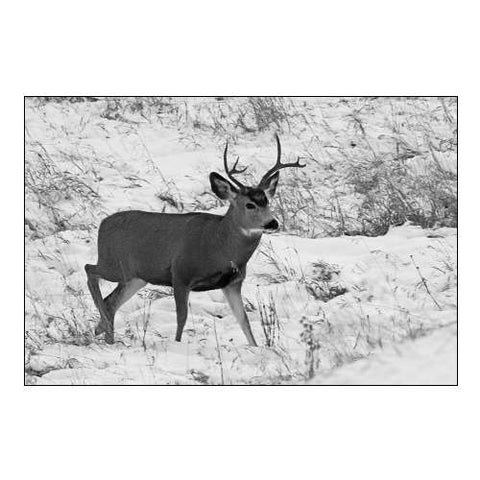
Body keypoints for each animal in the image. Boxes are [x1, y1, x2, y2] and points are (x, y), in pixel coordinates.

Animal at [84, 134, 306, 344]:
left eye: (267, 201)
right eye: (250, 205)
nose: (272, 223)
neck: (219, 246)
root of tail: (103, 225)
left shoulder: (232, 282)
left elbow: (244, 321)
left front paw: (257, 347)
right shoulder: (180, 273)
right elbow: (182, 318)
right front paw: (177, 344)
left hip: (135, 276)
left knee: (111, 301)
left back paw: (105, 334)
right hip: (114, 264)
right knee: (89, 270)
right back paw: (104, 328)